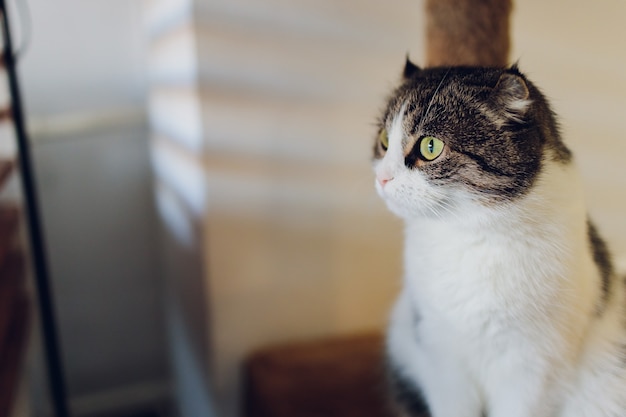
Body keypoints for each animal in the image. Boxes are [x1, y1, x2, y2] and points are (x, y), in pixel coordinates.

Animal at [372, 59, 620, 416]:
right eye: (383, 139)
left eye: (430, 147)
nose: (381, 177)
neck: (471, 238)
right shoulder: (440, 354)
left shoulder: (534, 365)